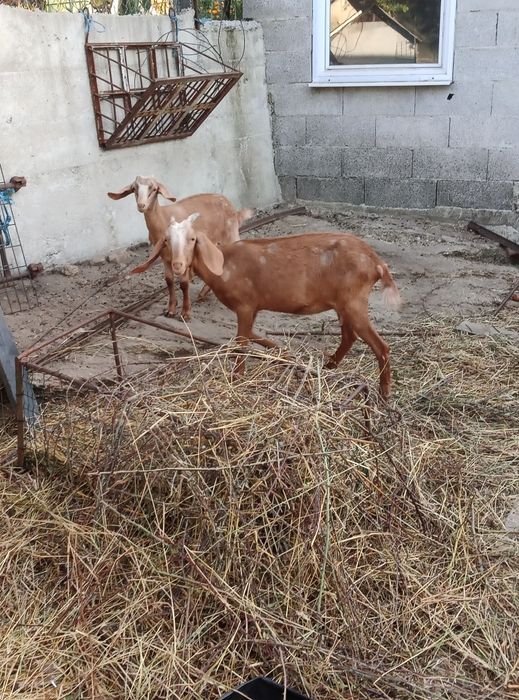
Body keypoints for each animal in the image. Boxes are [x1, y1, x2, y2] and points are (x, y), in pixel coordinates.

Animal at [107, 175, 253, 320]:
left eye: (154, 189)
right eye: (134, 188)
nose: (141, 205)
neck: (162, 218)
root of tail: (233, 209)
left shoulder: (183, 257)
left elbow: (184, 283)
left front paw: (186, 313)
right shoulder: (164, 256)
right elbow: (169, 281)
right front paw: (170, 310)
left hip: (231, 235)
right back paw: (204, 293)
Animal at [132, 215, 402, 398]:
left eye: (192, 239)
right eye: (167, 241)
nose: (177, 265)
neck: (224, 265)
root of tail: (377, 262)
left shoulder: (244, 305)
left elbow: (241, 342)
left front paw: (236, 377)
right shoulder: (253, 308)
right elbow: (252, 334)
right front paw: (283, 353)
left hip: (354, 301)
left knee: (380, 346)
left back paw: (384, 391)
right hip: (344, 304)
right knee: (349, 336)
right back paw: (328, 367)